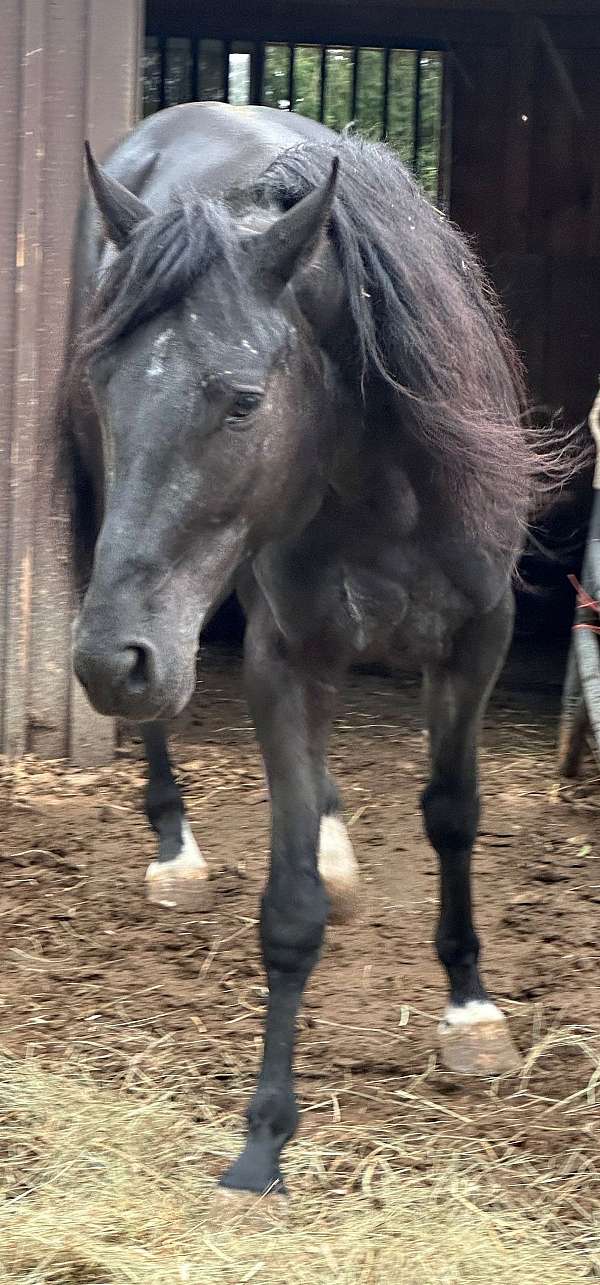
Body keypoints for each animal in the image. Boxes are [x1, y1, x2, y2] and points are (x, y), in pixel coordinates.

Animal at [62, 102, 539, 1202]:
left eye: (243, 399)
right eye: (107, 386)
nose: (109, 661)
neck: (381, 475)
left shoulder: (477, 642)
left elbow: (454, 815)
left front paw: (471, 1010)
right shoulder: (288, 659)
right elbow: (287, 911)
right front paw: (264, 1137)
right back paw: (178, 854)